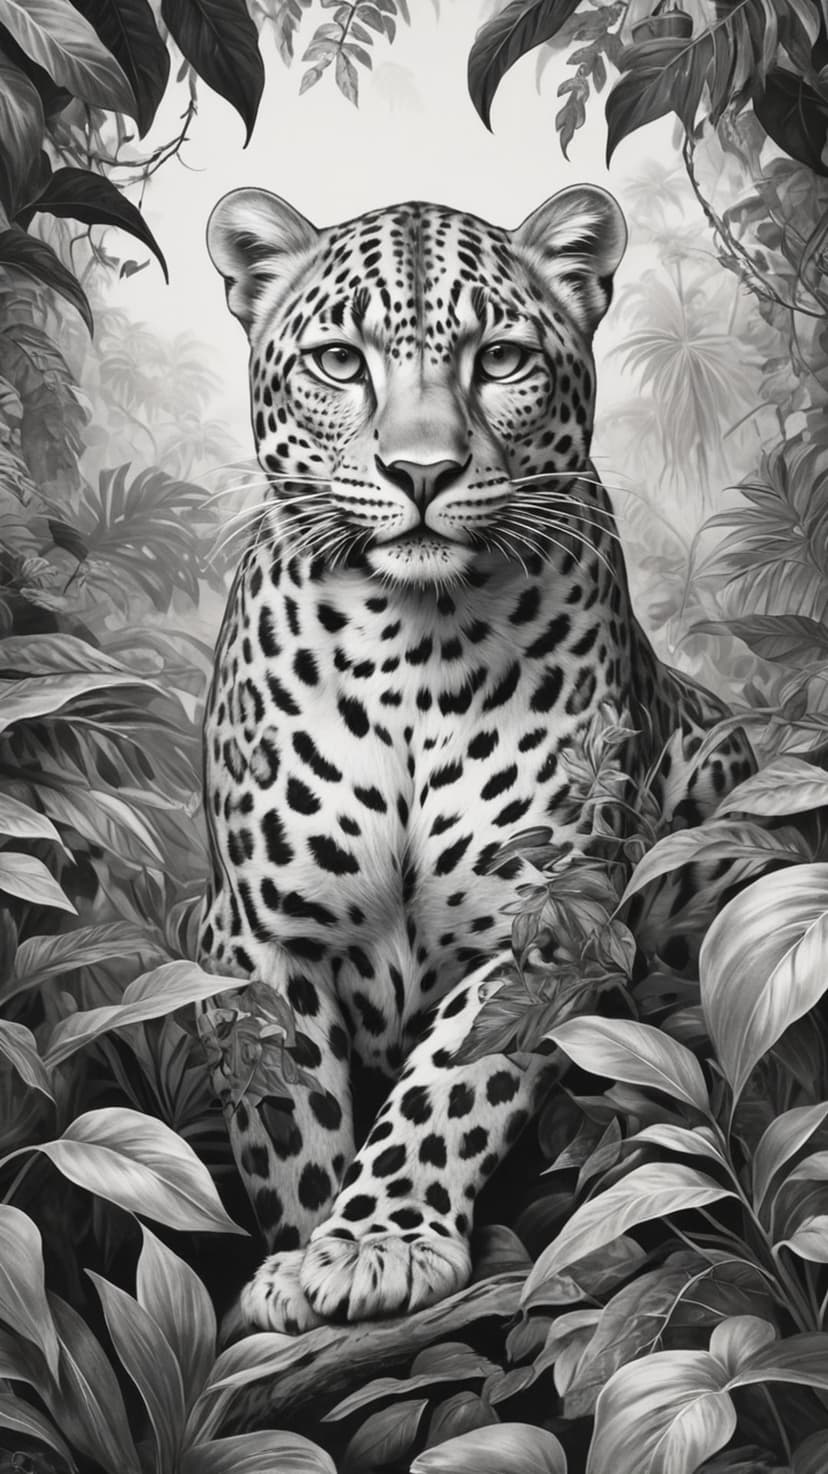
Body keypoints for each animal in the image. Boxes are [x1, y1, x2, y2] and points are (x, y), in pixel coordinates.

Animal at [199, 184, 753, 1337]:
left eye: (499, 358)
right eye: (340, 361)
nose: (422, 472)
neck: (413, 642)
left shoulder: (554, 914)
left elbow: (453, 1081)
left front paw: (380, 1241)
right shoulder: (262, 935)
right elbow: (292, 1113)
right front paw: (300, 1259)